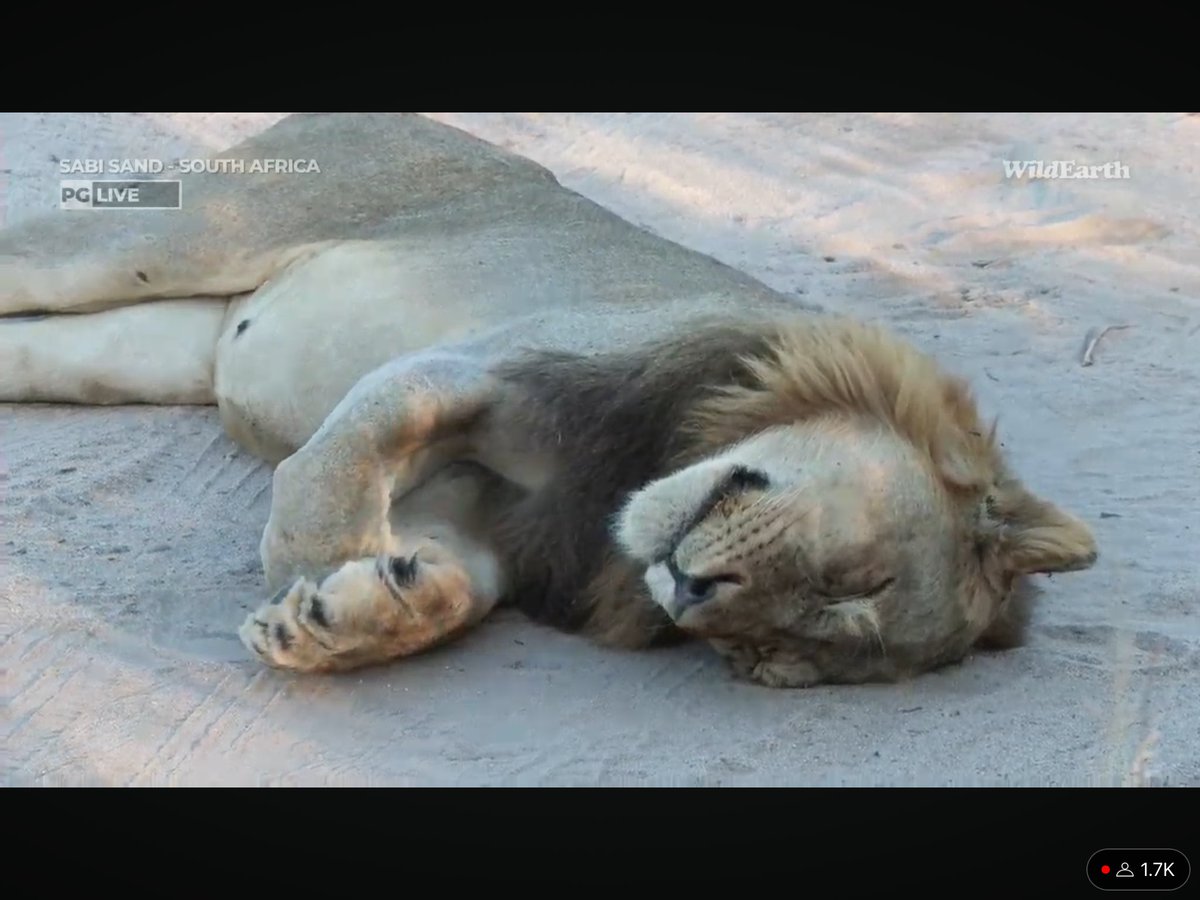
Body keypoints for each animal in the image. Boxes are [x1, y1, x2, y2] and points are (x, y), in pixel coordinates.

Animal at [238, 314, 1099, 686]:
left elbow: (455, 586)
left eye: (760, 654)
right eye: (854, 580)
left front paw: (333, 621)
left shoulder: (500, 527)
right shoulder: (505, 368)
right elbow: (373, 426)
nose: (687, 592)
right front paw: (313, 558)